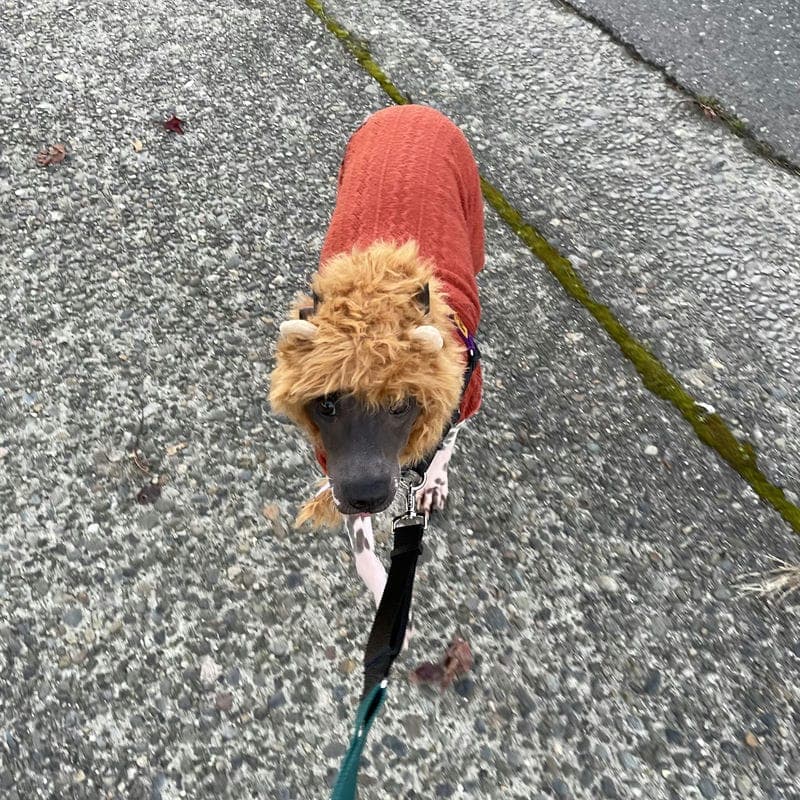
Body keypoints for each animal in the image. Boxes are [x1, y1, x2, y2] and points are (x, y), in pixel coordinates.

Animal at [268, 104, 484, 612]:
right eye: (326, 404)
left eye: (402, 405)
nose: (364, 496)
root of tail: (412, 108)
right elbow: (366, 556)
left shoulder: (464, 396)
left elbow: (446, 442)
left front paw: (433, 482)